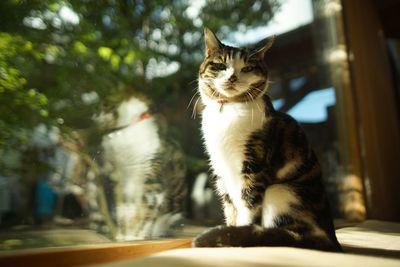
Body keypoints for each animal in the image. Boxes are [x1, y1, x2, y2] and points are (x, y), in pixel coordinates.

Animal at [192, 28, 342, 252]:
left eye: (247, 68)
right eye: (220, 65)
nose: (232, 77)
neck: (228, 111)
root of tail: (333, 239)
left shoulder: (253, 167)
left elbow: (248, 207)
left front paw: (236, 236)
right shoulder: (221, 171)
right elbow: (230, 209)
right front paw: (229, 233)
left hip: (280, 190)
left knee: (295, 236)